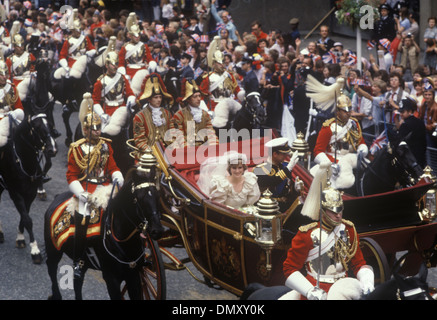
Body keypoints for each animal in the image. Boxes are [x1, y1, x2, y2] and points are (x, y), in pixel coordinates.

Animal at [0, 112, 57, 262]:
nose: (52, 150)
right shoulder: (15, 193)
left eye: (50, 125)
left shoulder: (30, 194)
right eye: (37, 128)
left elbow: (24, 216)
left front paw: (20, 238)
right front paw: (35, 251)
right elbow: (27, 219)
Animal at [44, 165, 164, 300]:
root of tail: (57, 198)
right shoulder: (111, 279)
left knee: (77, 282)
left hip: (83, 262)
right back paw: (56, 294)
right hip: (54, 250)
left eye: (158, 196)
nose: (157, 230)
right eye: (138, 199)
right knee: (51, 268)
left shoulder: (134, 276)